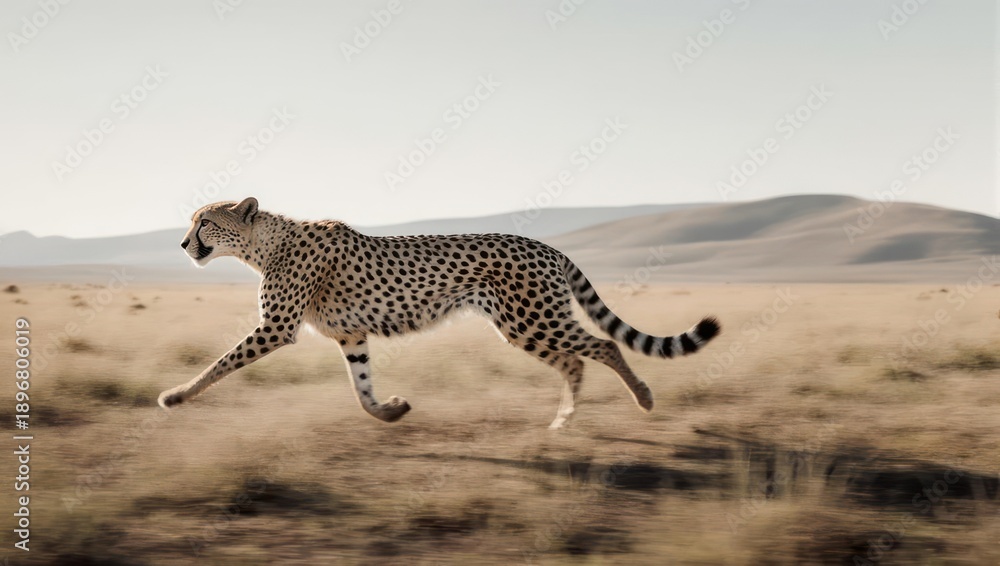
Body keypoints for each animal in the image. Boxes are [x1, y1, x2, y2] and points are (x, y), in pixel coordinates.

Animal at [157, 197, 720, 429]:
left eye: (205, 222)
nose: (183, 243)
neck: (265, 243)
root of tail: (545, 244)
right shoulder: (351, 336)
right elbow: (361, 387)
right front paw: (391, 411)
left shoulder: (275, 328)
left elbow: (220, 364)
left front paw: (176, 396)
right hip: (524, 327)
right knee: (575, 361)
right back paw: (563, 420)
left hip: (532, 319)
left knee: (601, 345)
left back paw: (643, 399)